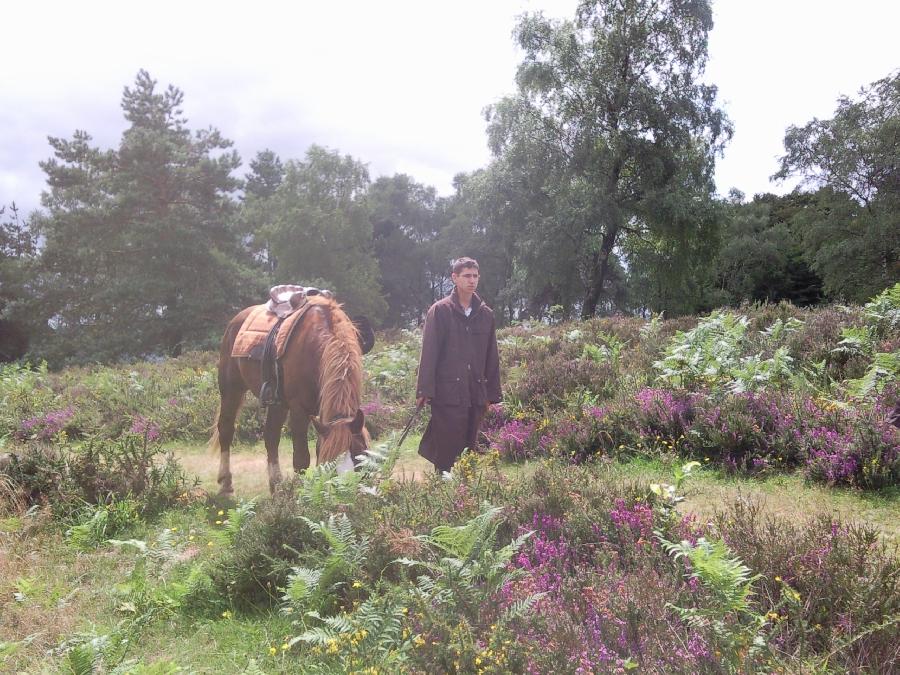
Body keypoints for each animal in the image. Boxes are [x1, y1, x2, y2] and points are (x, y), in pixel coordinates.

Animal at [207, 298, 370, 496]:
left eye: (360, 454)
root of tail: (236, 320)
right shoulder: (299, 410)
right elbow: (301, 458)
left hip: (277, 404)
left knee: (271, 436)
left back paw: (276, 486)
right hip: (231, 389)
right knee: (226, 430)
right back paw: (226, 484)